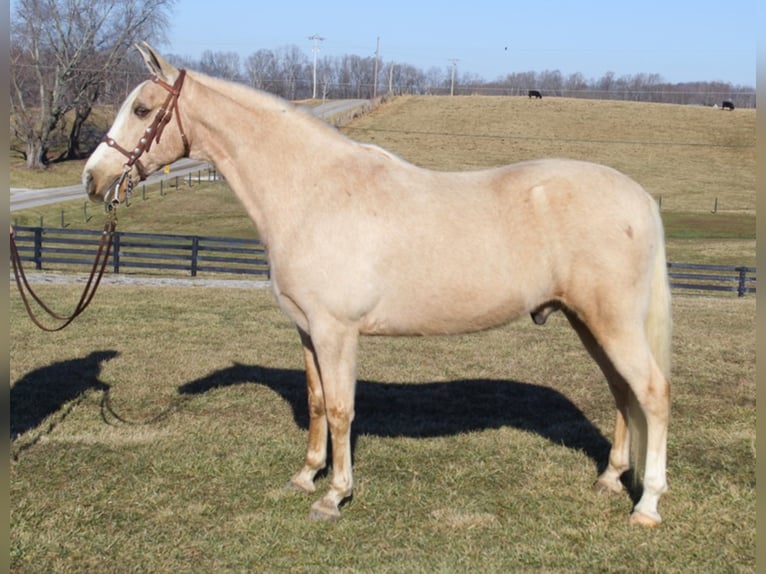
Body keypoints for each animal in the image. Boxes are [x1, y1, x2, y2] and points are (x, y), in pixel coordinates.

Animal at [82, 44, 672, 532]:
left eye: (141, 110)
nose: (92, 179)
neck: (312, 191)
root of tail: (640, 197)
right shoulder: (308, 331)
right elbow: (318, 403)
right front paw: (306, 477)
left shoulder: (336, 331)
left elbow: (343, 409)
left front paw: (334, 496)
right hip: (588, 322)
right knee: (622, 393)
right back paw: (609, 479)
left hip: (612, 323)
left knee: (652, 393)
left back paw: (646, 505)